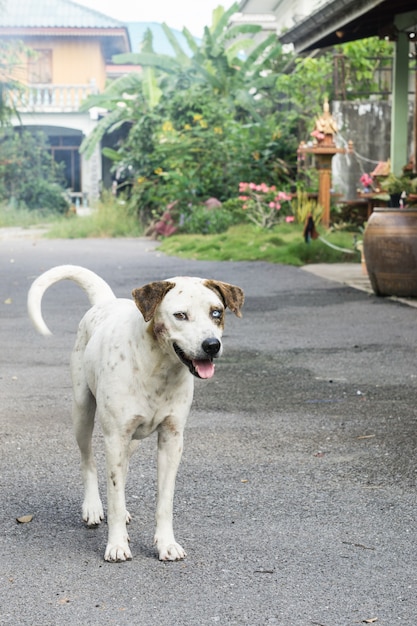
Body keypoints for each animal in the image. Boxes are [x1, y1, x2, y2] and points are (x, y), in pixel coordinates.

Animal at [27, 264, 242, 560]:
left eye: (217, 312)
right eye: (180, 315)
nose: (211, 345)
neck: (158, 367)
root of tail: (106, 302)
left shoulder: (172, 439)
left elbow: (164, 500)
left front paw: (166, 543)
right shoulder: (115, 436)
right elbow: (114, 495)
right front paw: (117, 544)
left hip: (131, 441)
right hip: (82, 412)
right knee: (89, 461)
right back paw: (93, 507)